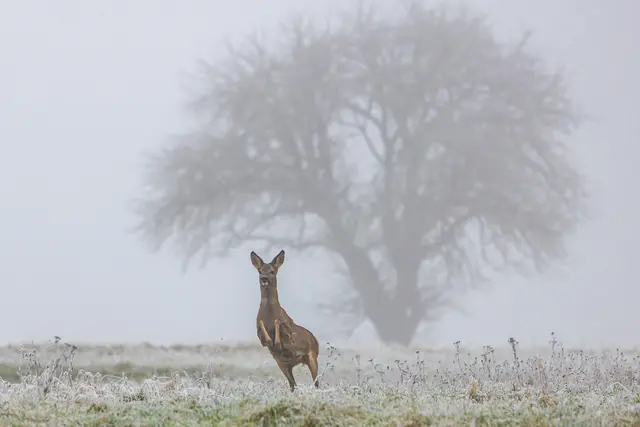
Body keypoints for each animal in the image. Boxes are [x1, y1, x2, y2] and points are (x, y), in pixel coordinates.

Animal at [250, 249, 320, 392]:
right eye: (260, 271)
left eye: (272, 271)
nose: (264, 278)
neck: (270, 316)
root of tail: (315, 340)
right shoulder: (259, 334)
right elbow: (263, 332)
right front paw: (271, 340)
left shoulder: (289, 334)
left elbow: (280, 327)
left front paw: (276, 338)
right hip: (283, 365)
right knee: (293, 385)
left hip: (312, 356)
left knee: (316, 383)